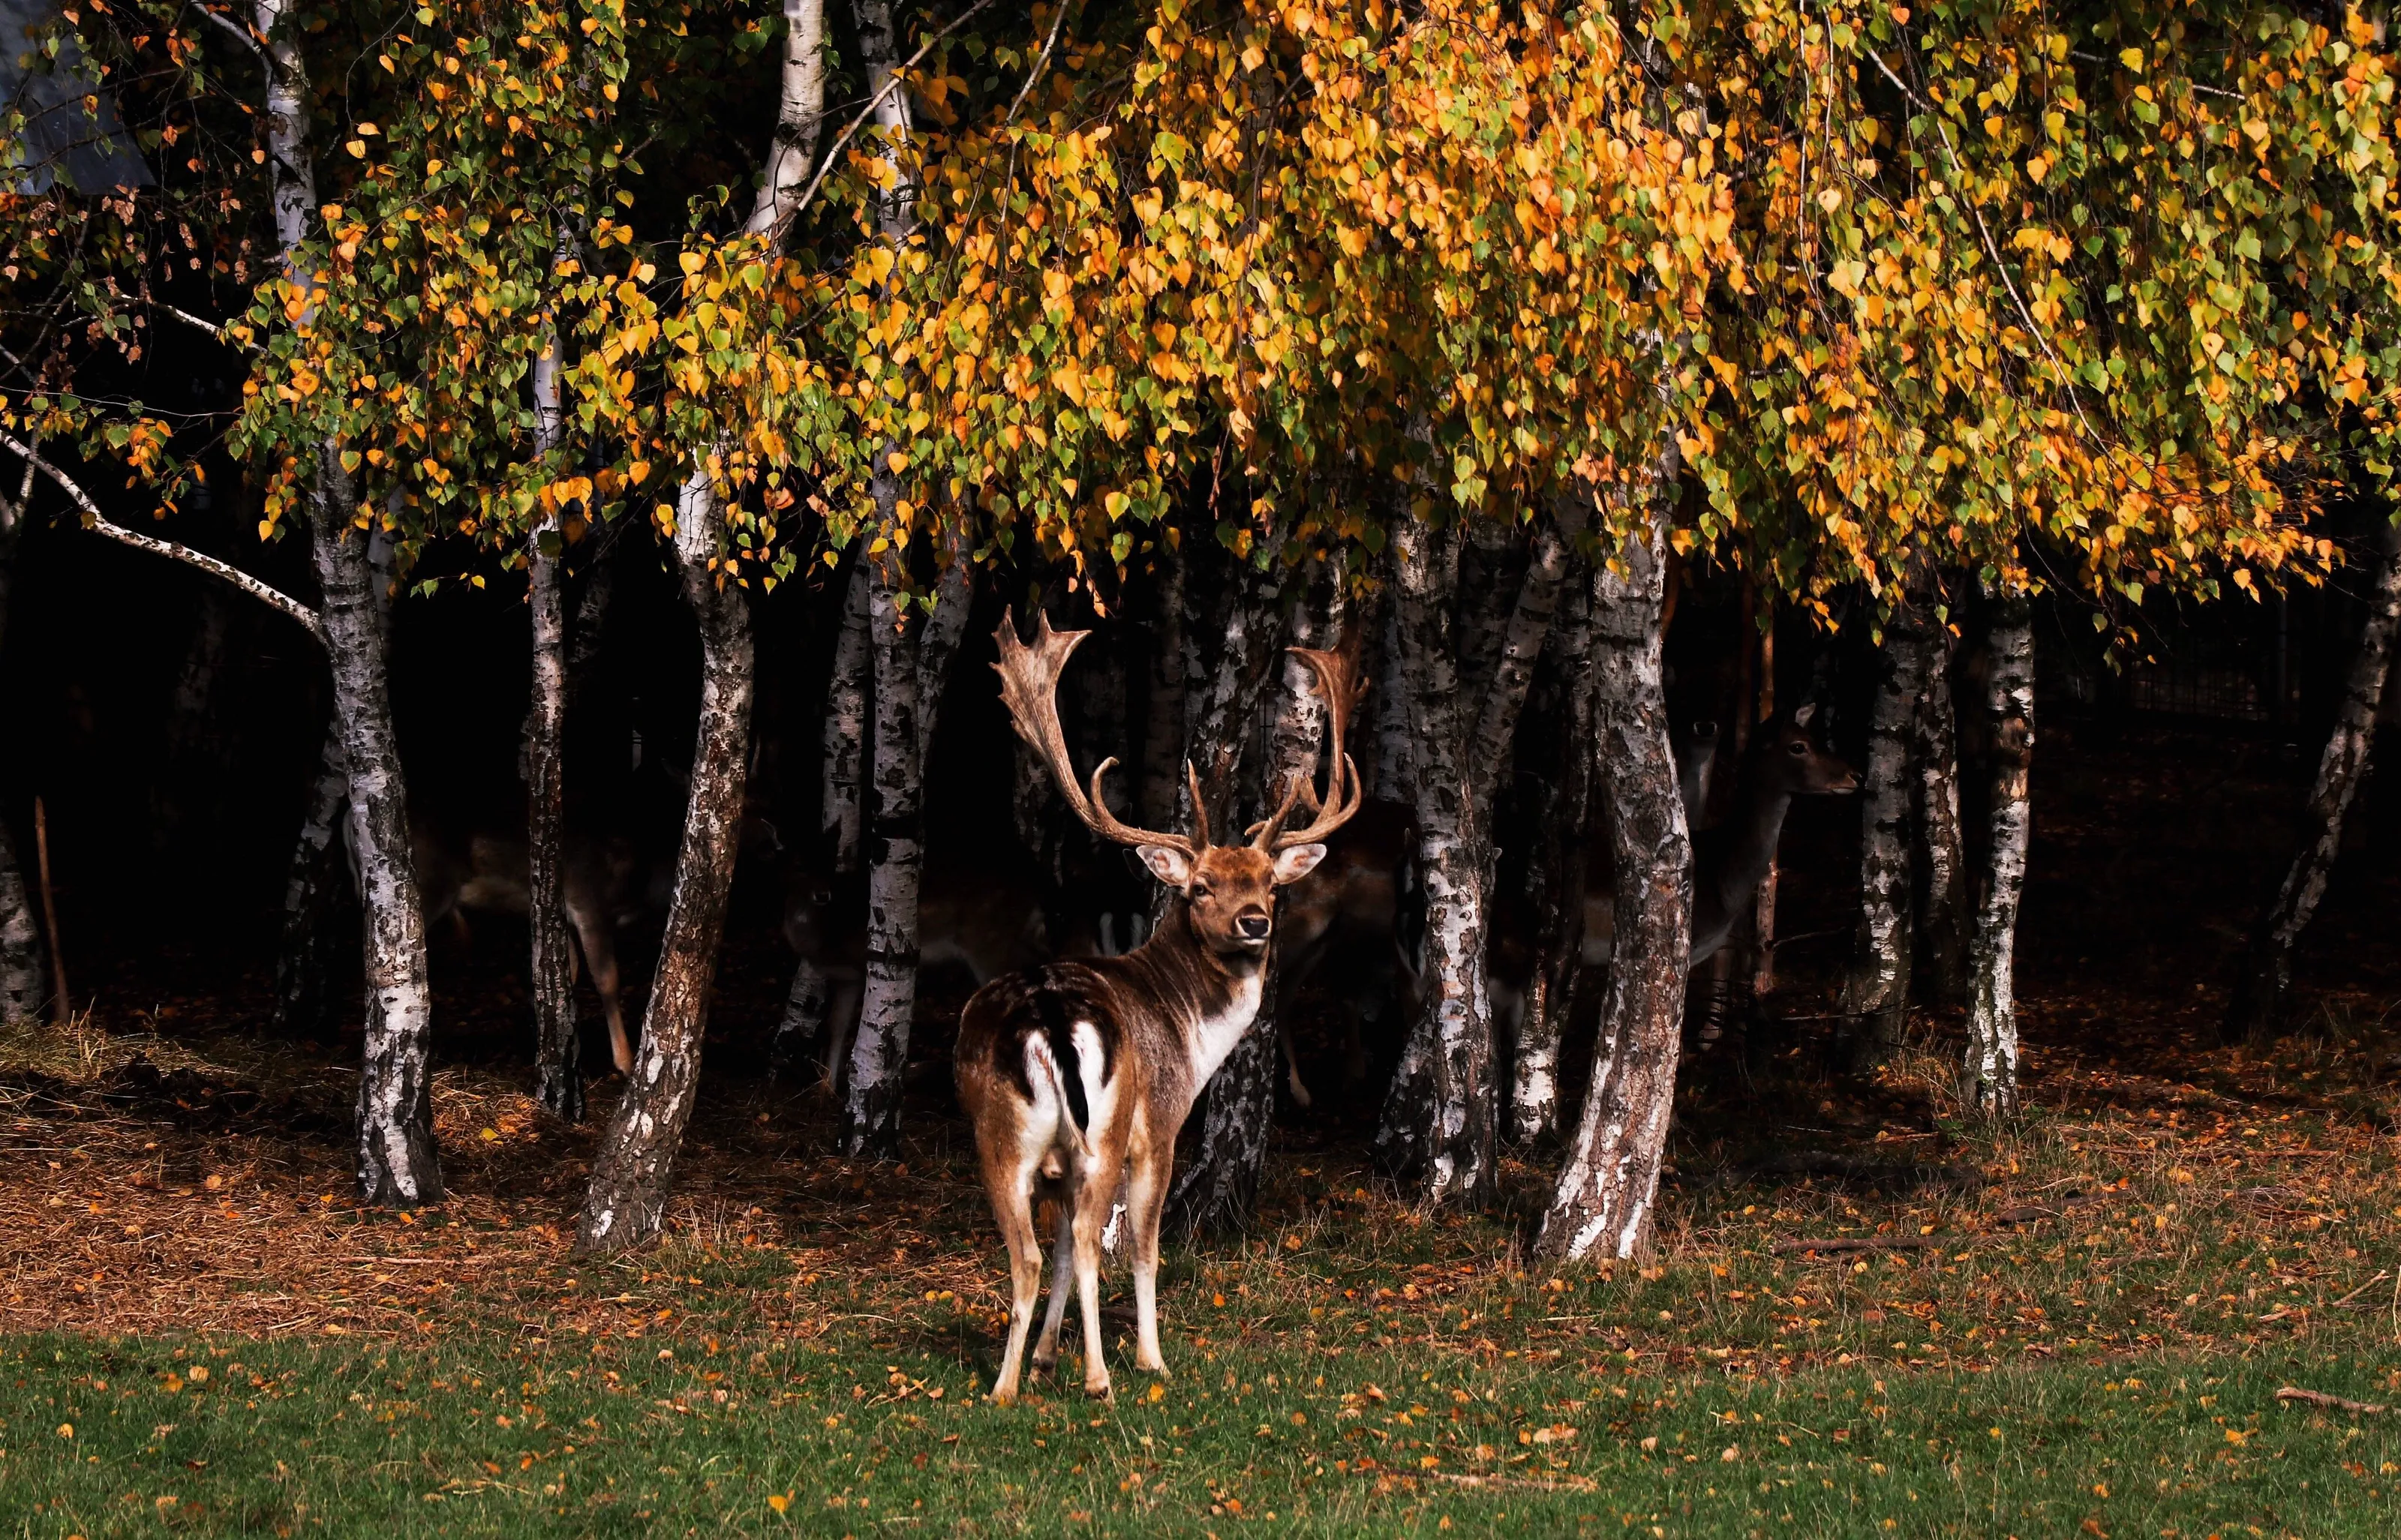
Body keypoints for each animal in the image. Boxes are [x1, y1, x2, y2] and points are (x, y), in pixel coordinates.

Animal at [955, 611, 1362, 1403]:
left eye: (1270, 883)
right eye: (1201, 886)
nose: (1254, 922)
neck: (1188, 1030)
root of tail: (1050, 1017)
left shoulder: (1060, 1164)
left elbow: (1056, 1251)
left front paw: (1044, 1355)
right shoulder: (1163, 1125)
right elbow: (1143, 1248)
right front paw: (1146, 1355)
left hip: (1004, 1133)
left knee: (1029, 1250)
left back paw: (1006, 1387)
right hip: (1109, 1132)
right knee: (1095, 1241)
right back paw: (1103, 1378)